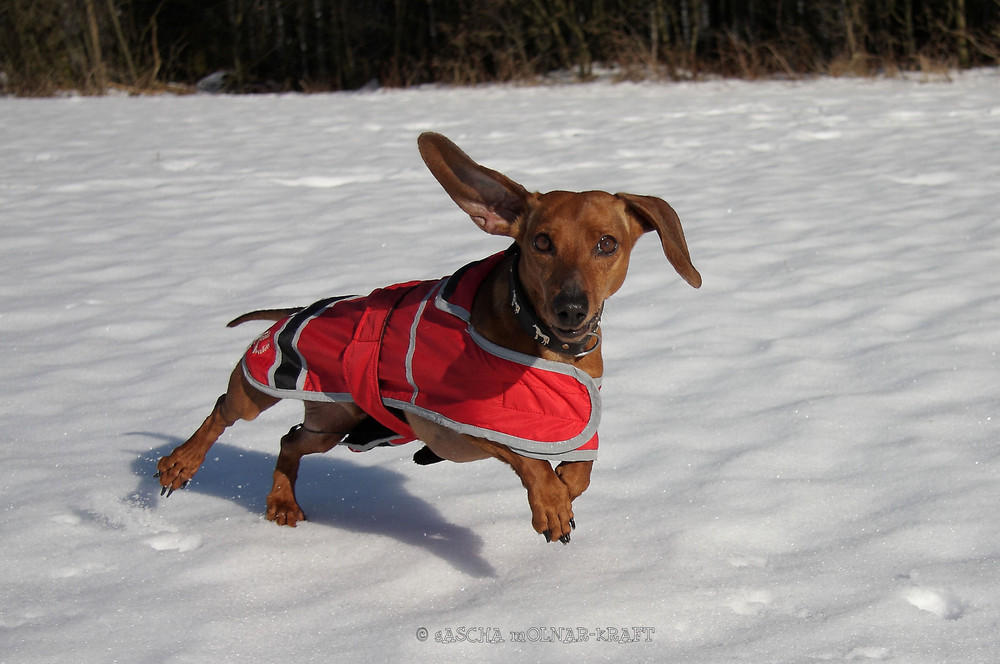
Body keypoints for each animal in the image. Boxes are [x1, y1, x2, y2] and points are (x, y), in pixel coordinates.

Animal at [158, 134, 704, 544]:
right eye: (541, 242)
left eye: (607, 244)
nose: (571, 308)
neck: (543, 342)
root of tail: (300, 308)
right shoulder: (461, 425)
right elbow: (529, 460)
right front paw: (549, 503)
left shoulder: (575, 427)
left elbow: (579, 474)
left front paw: (563, 493)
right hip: (266, 381)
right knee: (224, 412)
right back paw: (181, 463)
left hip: (335, 421)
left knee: (290, 440)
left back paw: (282, 501)